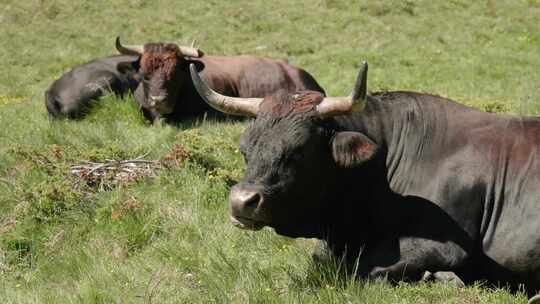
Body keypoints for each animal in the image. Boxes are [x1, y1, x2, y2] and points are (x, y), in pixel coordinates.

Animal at [189, 61, 540, 300]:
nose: (242, 201)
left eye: (299, 151)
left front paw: (440, 278)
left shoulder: (444, 247)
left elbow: (364, 271)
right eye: (245, 149)